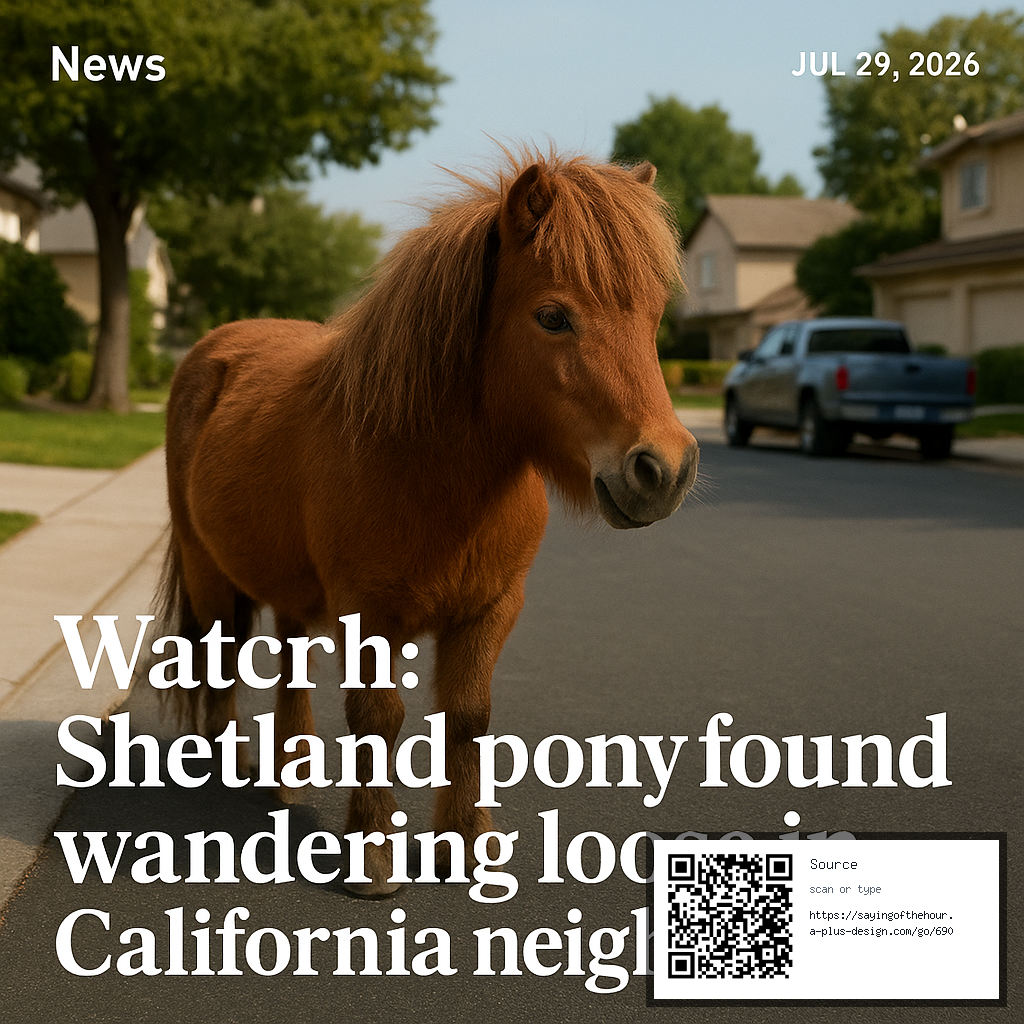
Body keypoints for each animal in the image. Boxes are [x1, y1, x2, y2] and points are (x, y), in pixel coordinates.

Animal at [158, 149, 699, 895]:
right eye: (553, 317)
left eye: (653, 318)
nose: (663, 469)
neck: (428, 466)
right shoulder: (367, 614)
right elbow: (378, 720)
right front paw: (373, 858)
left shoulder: (489, 610)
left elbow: (467, 718)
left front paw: (465, 846)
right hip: (207, 566)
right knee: (218, 656)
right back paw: (222, 761)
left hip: (290, 589)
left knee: (290, 660)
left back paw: (290, 775)